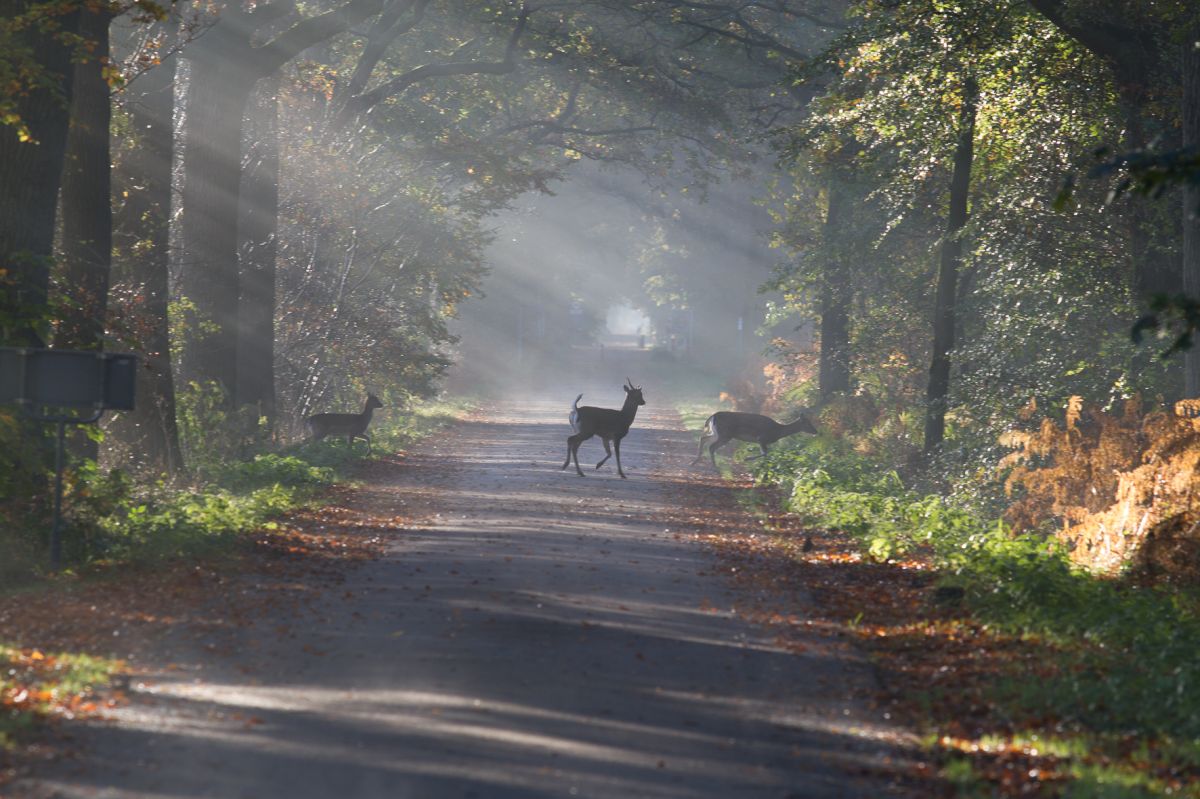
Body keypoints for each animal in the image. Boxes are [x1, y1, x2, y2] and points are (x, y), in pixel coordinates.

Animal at [691, 410, 820, 467]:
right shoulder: (762, 438)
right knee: (711, 446)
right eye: (808, 423)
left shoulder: (762, 441)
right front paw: (747, 459)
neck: (778, 431)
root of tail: (713, 416)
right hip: (725, 434)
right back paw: (714, 465)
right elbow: (765, 453)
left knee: (703, 438)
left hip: (717, 433)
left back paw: (695, 461)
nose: (816, 431)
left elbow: (765, 454)